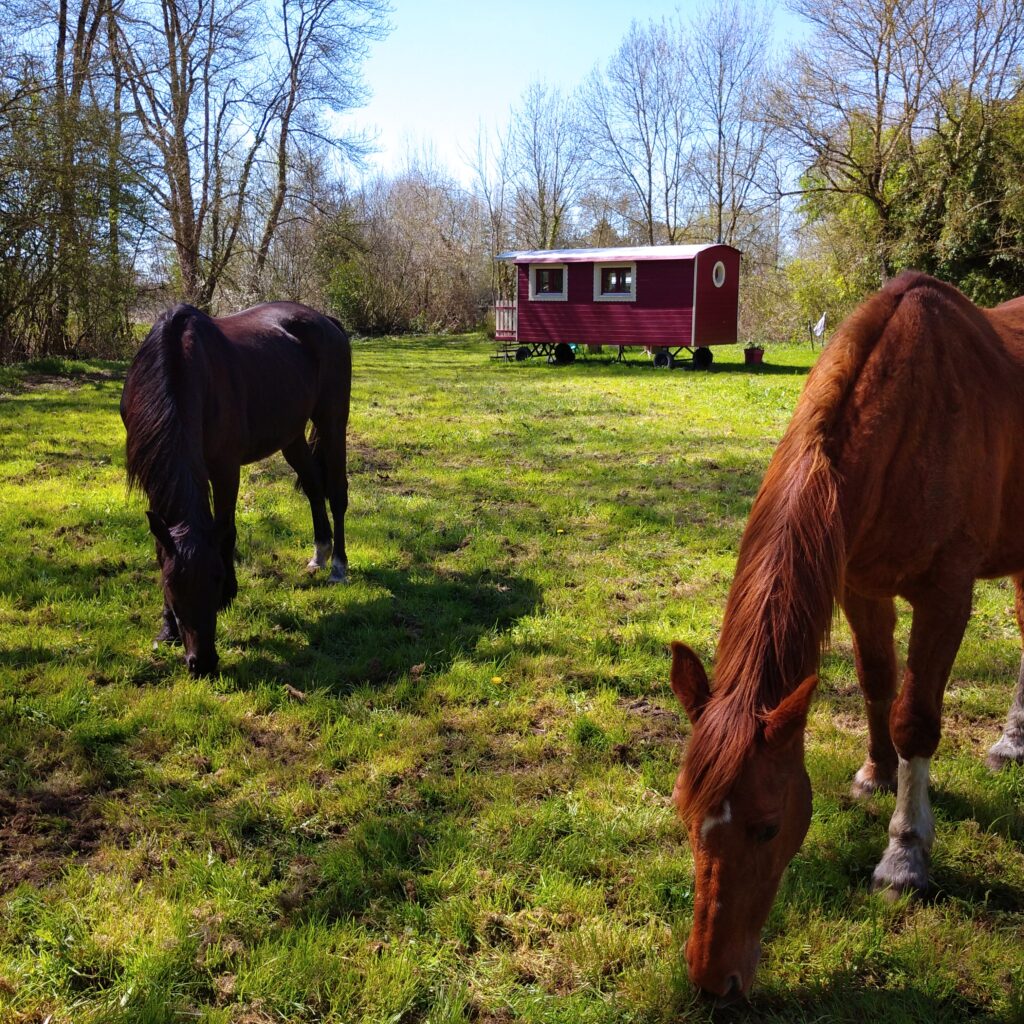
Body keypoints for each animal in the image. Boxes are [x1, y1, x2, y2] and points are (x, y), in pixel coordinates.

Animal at [121, 301, 351, 677]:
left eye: (215, 579)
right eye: (171, 585)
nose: (202, 663)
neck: (177, 367)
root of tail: (326, 320)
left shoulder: (225, 468)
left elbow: (226, 529)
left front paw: (230, 594)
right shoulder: (153, 476)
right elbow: (161, 545)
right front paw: (166, 629)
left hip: (332, 422)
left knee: (337, 493)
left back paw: (338, 566)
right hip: (291, 435)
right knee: (314, 487)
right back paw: (319, 553)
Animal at [668, 271, 1024, 999]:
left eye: (767, 827)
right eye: (685, 813)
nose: (712, 982)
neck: (913, 417)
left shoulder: (947, 594)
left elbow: (915, 717)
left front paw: (905, 856)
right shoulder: (861, 584)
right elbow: (875, 683)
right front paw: (876, 774)